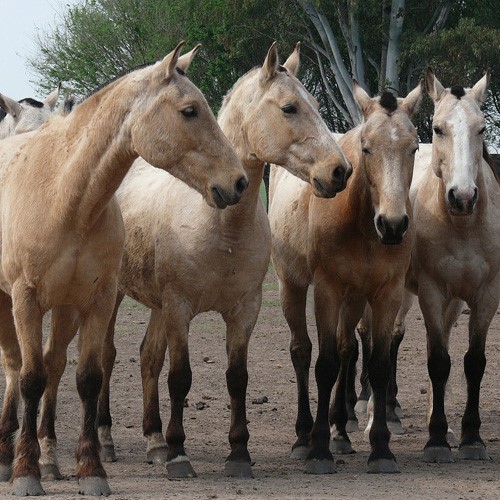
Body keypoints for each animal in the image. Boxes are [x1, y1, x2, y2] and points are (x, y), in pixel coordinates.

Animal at [0, 42, 248, 496]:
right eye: (189, 110)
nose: (238, 182)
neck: (66, 199)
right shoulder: (25, 300)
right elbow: (30, 378)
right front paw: (26, 473)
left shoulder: (96, 301)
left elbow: (87, 378)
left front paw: (90, 469)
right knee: (15, 367)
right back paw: (11, 457)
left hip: (66, 310)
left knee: (52, 364)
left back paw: (45, 457)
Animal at [33, 42, 354, 480]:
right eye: (289, 107)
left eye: (317, 106)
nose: (340, 171)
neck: (222, 228)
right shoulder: (179, 307)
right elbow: (180, 377)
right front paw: (179, 454)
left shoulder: (243, 311)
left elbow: (236, 377)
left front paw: (238, 453)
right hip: (115, 298)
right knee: (108, 357)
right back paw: (108, 440)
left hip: (153, 305)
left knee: (148, 358)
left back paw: (153, 441)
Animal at [270, 80, 422, 474]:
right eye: (367, 148)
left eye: (414, 147)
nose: (393, 225)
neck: (362, 222)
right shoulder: (327, 290)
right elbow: (324, 365)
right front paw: (319, 450)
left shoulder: (387, 294)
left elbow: (377, 364)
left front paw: (380, 448)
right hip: (292, 285)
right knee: (302, 351)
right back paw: (304, 437)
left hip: (354, 298)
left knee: (346, 349)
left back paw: (340, 429)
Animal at [358, 68, 498, 462]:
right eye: (437, 129)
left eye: (482, 129)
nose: (462, 197)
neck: (463, 225)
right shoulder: (433, 293)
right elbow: (437, 361)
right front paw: (436, 440)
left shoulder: (484, 296)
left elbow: (471, 362)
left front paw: (469, 437)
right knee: (374, 341)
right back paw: (373, 417)